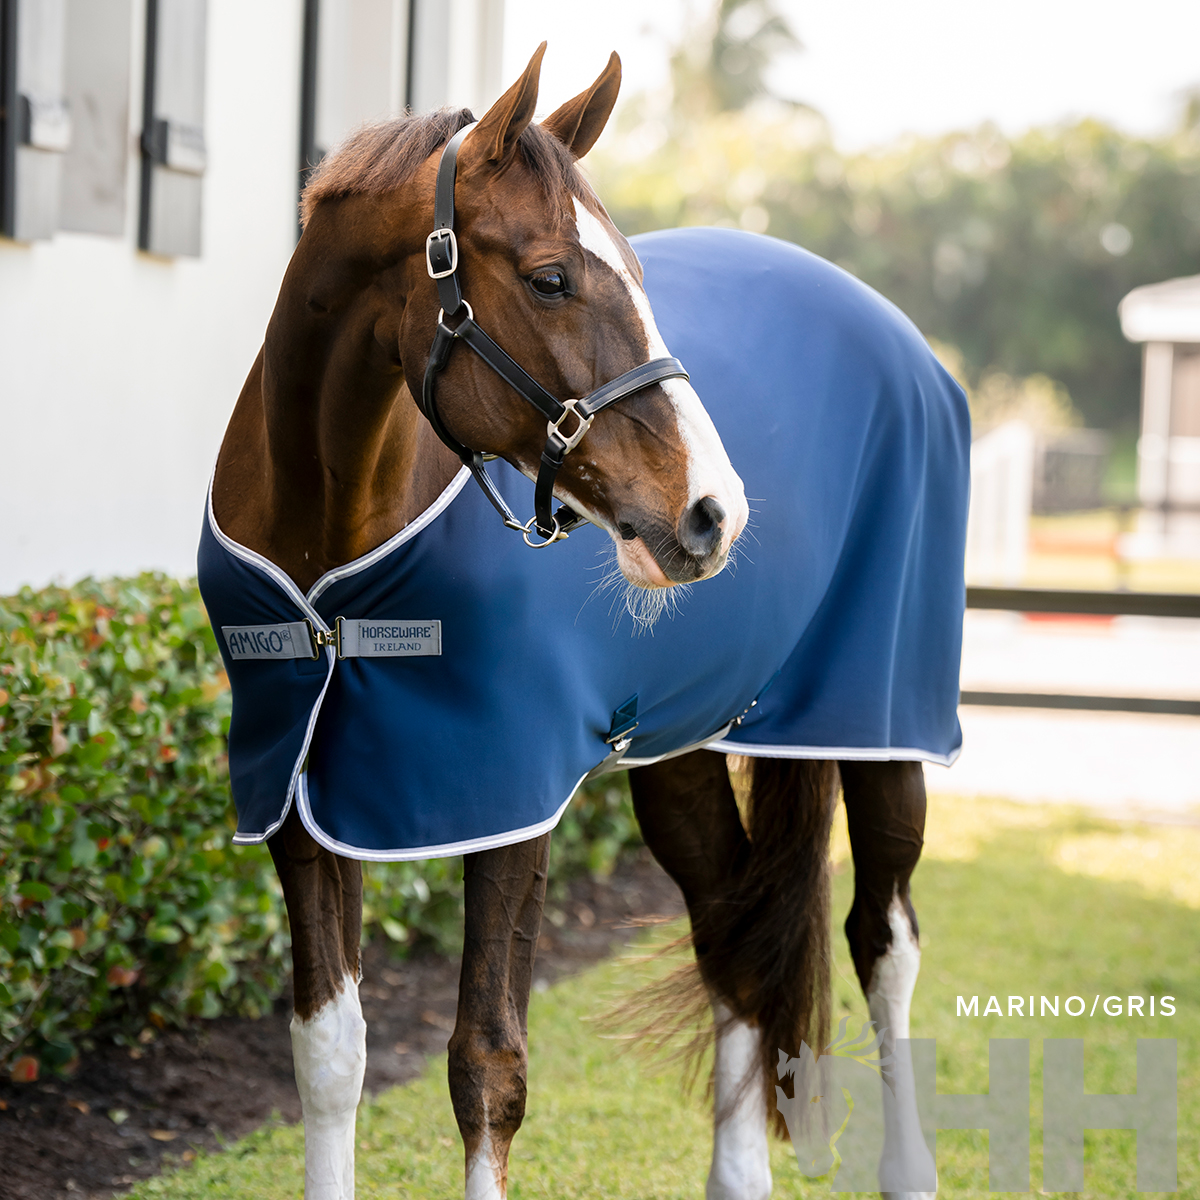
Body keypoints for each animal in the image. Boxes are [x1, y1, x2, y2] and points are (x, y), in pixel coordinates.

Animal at [200, 44, 967, 1200]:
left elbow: (486, 1065)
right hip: (684, 744)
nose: (712, 511)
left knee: (885, 937)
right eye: (551, 276)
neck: (328, 549)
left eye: (639, 275)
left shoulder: (509, 791)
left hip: (880, 722)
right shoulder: (299, 797)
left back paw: (908, 1166)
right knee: (734, 929)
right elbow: (328, 1054)